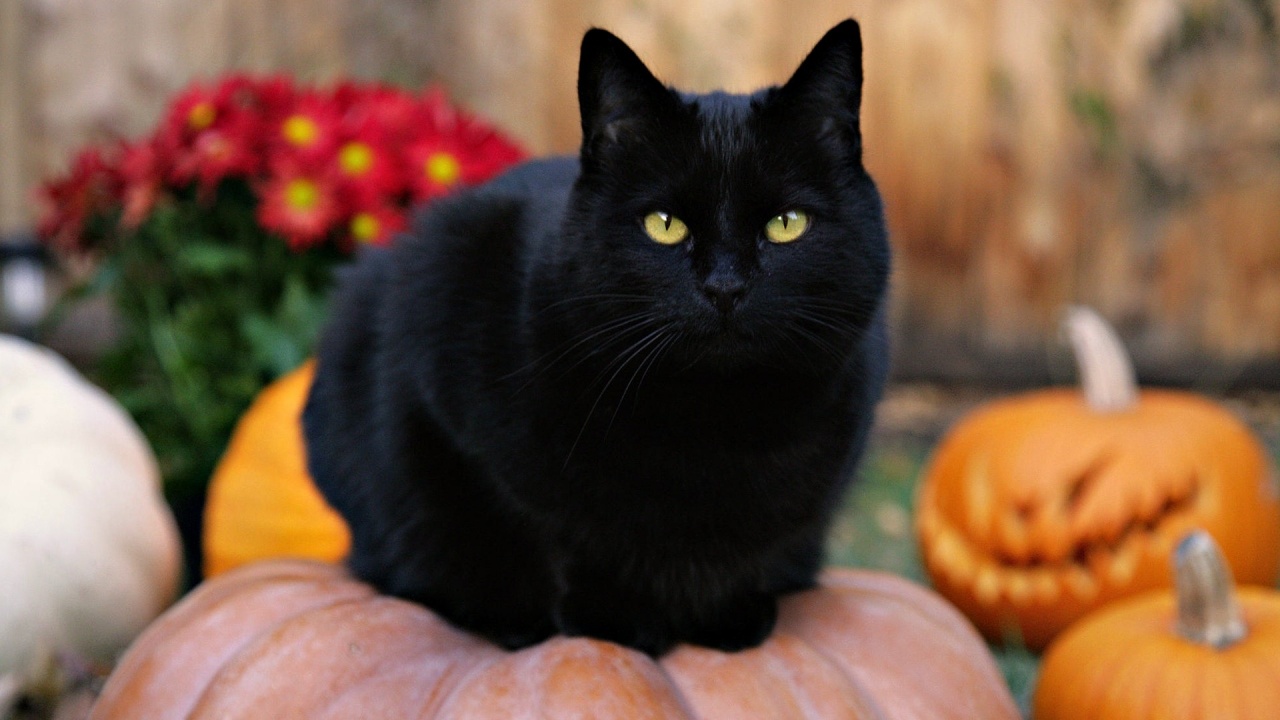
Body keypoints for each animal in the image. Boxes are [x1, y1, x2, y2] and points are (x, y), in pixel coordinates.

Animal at [304, 16, 896, 655]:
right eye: (664, 225)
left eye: (787, 224)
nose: (725, 286)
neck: (711, 423)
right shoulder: (444, 377)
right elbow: (550, 533)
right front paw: (613, 619)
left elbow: (758, 548)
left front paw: (726, 615)